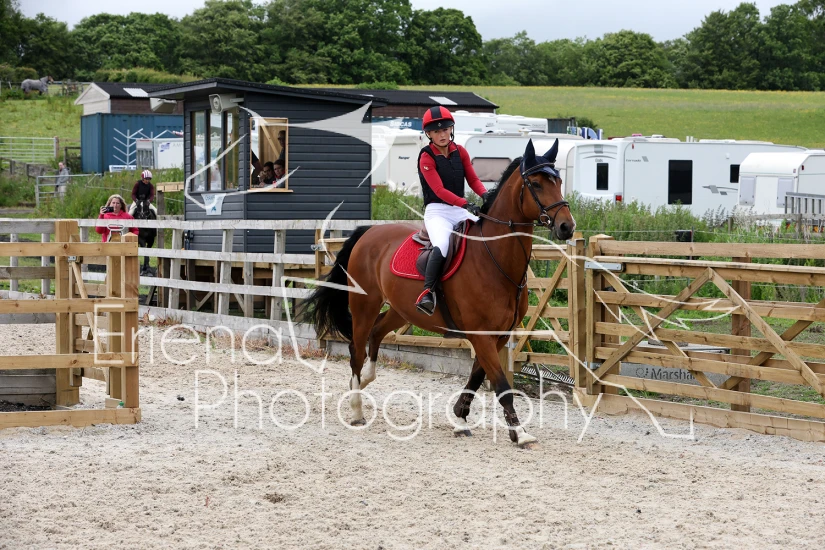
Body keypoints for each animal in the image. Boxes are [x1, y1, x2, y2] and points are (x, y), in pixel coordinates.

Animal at [304, 139, 576, 447]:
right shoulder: (480, 334)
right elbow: (501, 384)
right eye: (536, 184)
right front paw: (519, 432)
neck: (494, 258)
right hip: (365, 305)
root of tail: (368, 233)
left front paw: (460, 419)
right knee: (357, 349)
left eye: (558, 181)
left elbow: (476, 378)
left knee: (377, 333)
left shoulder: (499, 335)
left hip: (401, 310)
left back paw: (365, 381)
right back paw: (356, 407)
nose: (567, 226)